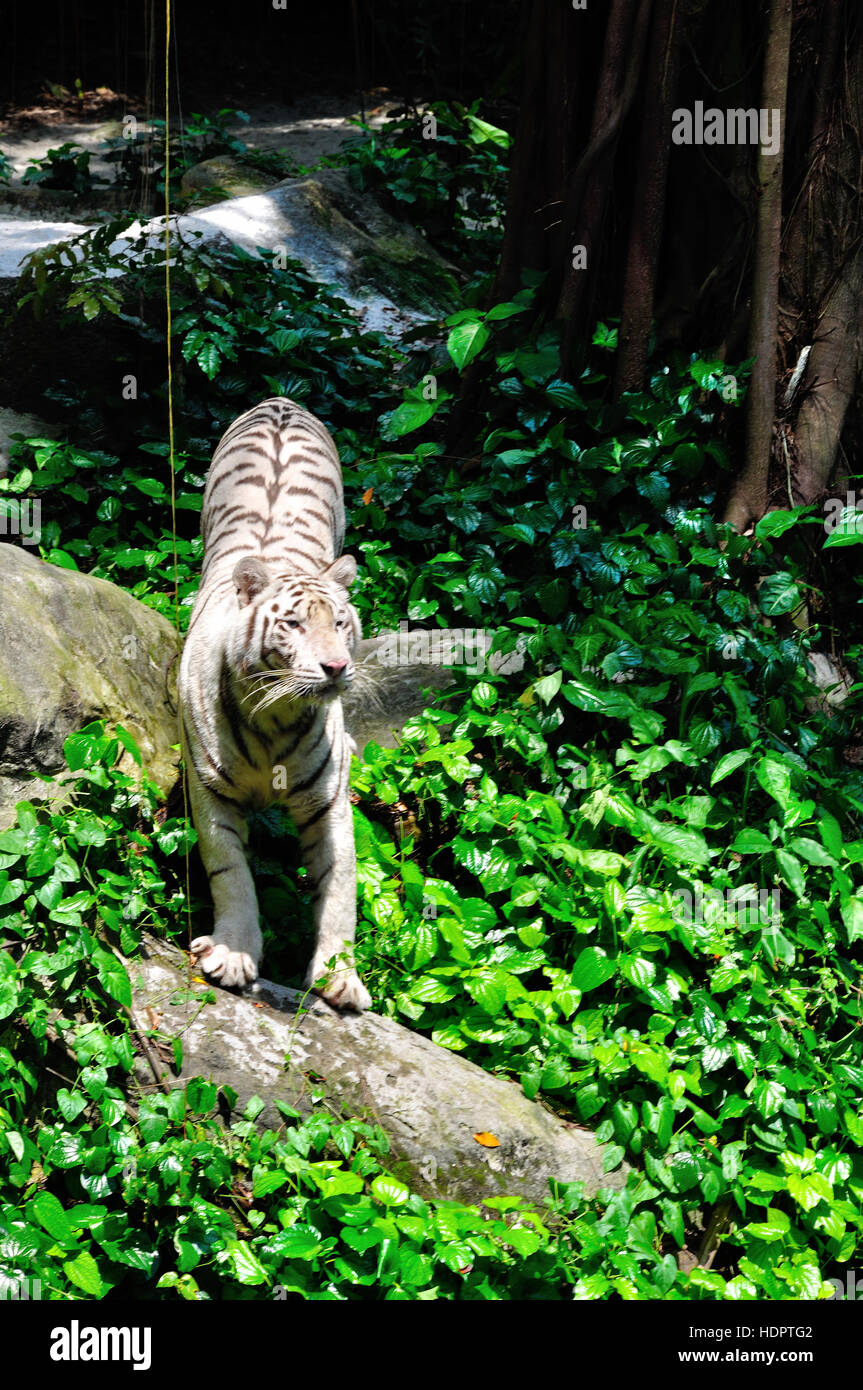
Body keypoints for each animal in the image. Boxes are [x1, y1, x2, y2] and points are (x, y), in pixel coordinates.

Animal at [177, 397, 369, 1017]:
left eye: (340, 623)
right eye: (293, 624)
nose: (336, 667)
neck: (275, 718)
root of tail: (280, 400)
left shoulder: (327, 802)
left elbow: (341, 888)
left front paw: (341, 978)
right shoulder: (208, 790)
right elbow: (230, 871)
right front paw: (233, 957)